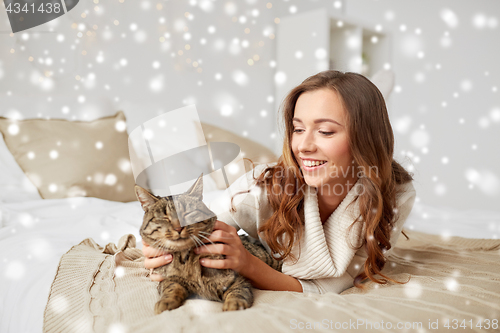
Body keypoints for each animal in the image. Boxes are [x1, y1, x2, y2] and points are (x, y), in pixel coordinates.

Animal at [135, 175, 284, 312]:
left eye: (188, 213)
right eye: (164, 217)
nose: (178, 228)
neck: (186, 259)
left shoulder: (237, 278)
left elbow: (237, 291)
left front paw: (233, 305)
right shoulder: (166, 280)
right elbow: (171, 287)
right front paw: (165, 302)